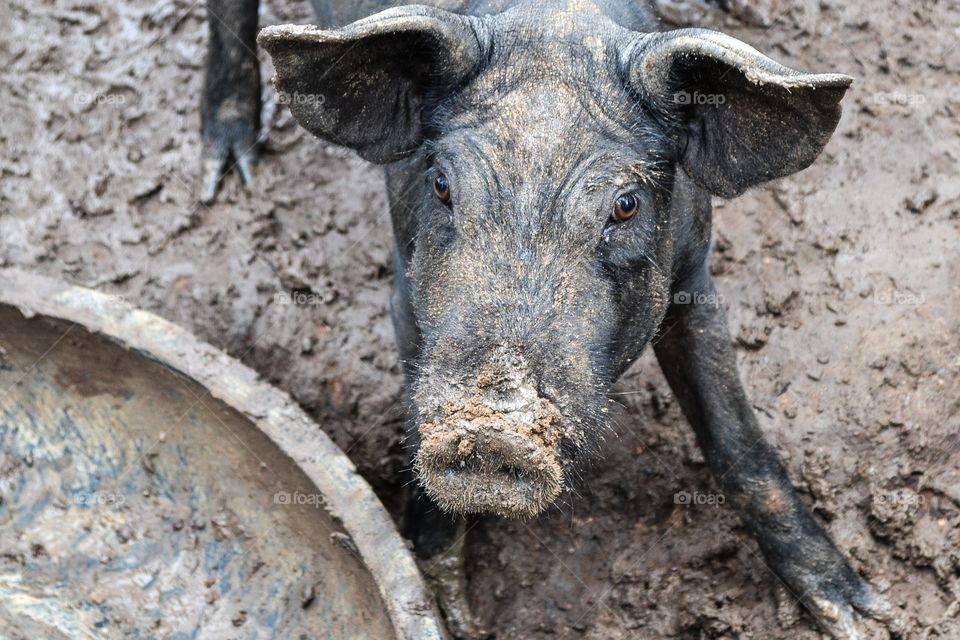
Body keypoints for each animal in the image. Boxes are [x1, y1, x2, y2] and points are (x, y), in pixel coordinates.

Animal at [202, 1, 900, 638]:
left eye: (626, 204)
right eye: (441, 185)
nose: (494, 430)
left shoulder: (694, 276)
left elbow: (736, 437)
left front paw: (864, 618)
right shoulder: (404, 292)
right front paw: (452, 615)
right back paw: (226, 172)